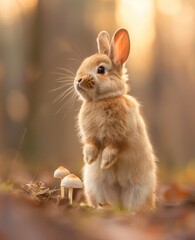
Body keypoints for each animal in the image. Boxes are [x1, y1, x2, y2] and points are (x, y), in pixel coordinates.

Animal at [73, 28, 157, 212]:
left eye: (101, 70)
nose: (78, 81)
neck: (102, 99)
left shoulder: (121, 136)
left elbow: (113, 147)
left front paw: (105, 162)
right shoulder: (90, 136)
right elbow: (91, 145)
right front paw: (89, 159)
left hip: (139, 190)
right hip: (97, 188)